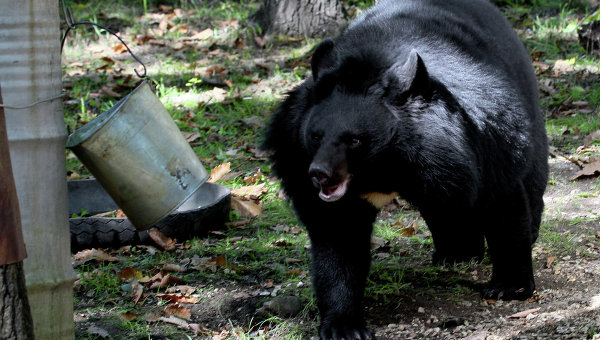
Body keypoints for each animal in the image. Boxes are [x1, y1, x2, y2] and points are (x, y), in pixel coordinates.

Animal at [262, 0, 548, 338]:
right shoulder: (296, 156)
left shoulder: (483, 138)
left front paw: (509, 287)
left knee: (531, 177)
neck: (386, 166)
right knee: (446, 209)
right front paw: (344, 325)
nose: (319, 174)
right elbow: (338, 237)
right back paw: (457, 253)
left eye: (355, 139)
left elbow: (502, 201)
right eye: (316, 135)